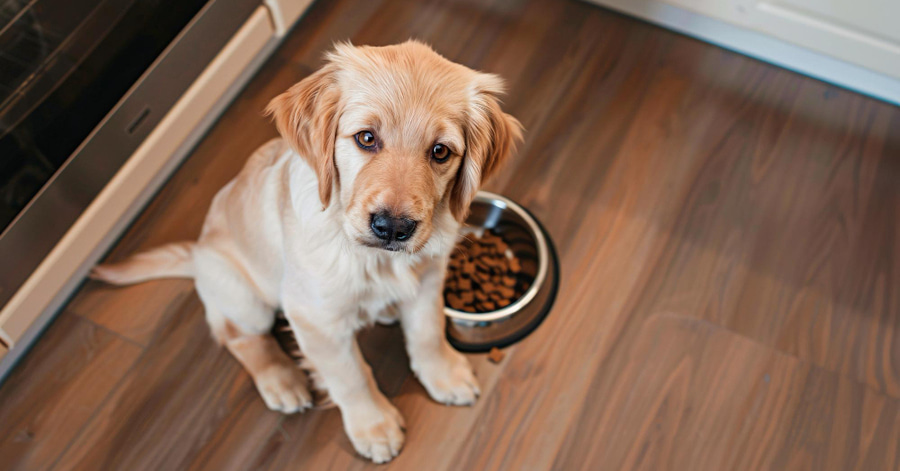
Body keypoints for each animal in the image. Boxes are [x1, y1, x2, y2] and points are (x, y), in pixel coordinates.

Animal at [91, 41, 520, 464]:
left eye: (441, 152)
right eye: (366, 138)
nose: (393, 228)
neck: (372, 257)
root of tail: (197, 252)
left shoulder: (429, 278)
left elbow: (427, 331)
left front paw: (444, 374)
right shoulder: (315, 318)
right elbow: (349, 375)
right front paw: (374, 427)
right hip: (243, 296)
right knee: (236, 335)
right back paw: (282, 381)